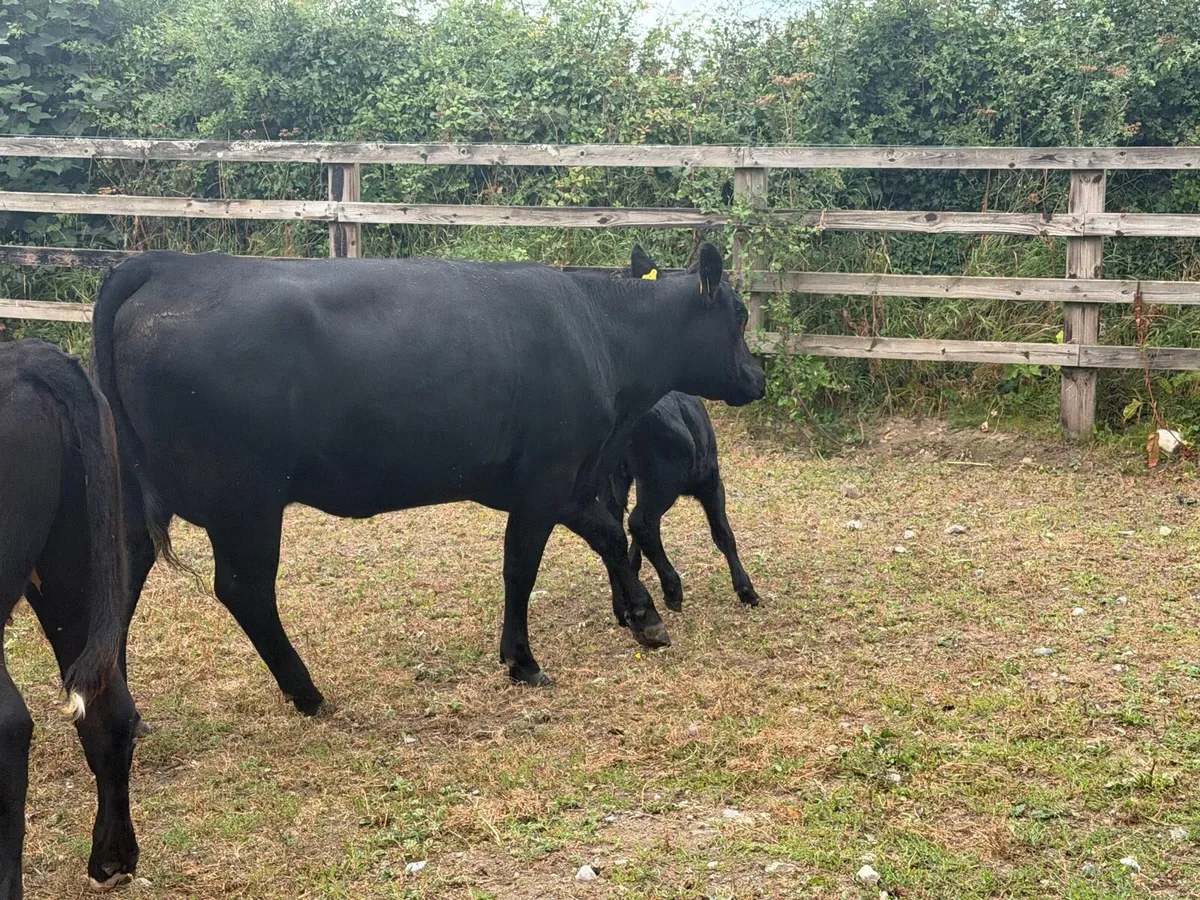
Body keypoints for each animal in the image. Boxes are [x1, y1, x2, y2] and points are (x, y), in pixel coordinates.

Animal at [90, 243, 765, 715]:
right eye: (738, 313)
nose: (758, 377)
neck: (598, 331)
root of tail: (169, 266)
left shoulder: (567, 480)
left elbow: (609, 535)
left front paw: (643, 616)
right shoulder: (545, 479)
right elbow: (522, 567)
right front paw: (523, 660)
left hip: (138, 494)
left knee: (119, 578)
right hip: (245, 501)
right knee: (244, 591)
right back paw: (308, 693)